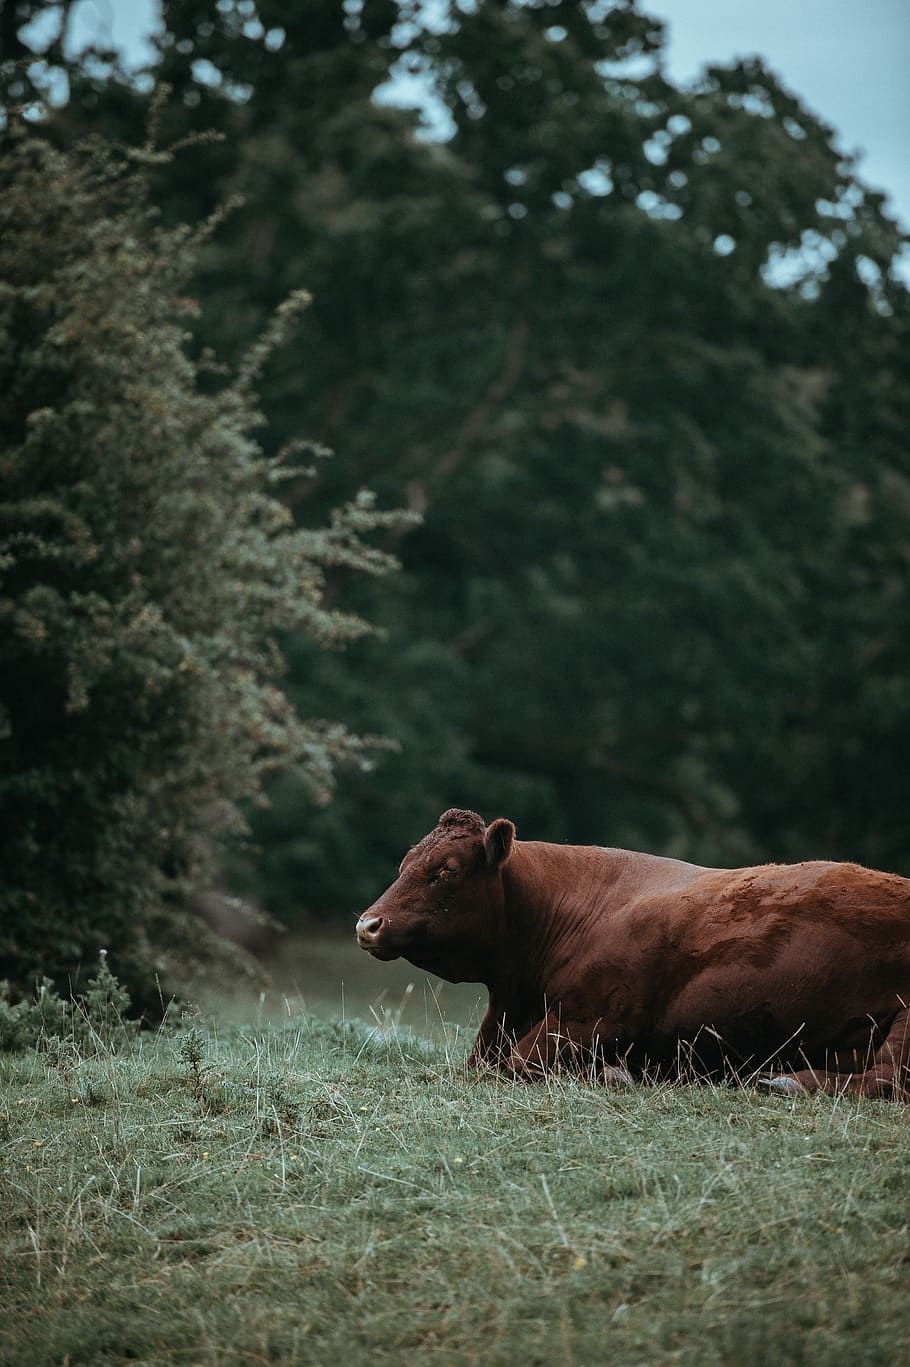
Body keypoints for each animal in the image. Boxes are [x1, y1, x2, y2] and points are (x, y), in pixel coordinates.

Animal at [355, 809, 910, 1098]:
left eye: (446, 871)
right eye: (404, 863)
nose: (367, 924)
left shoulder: (586, 1020)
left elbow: (516, 1063)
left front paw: (615, 1072)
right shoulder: (509, 1012)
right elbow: (485, 1061)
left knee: (888, 1077)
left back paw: (787, 1082)